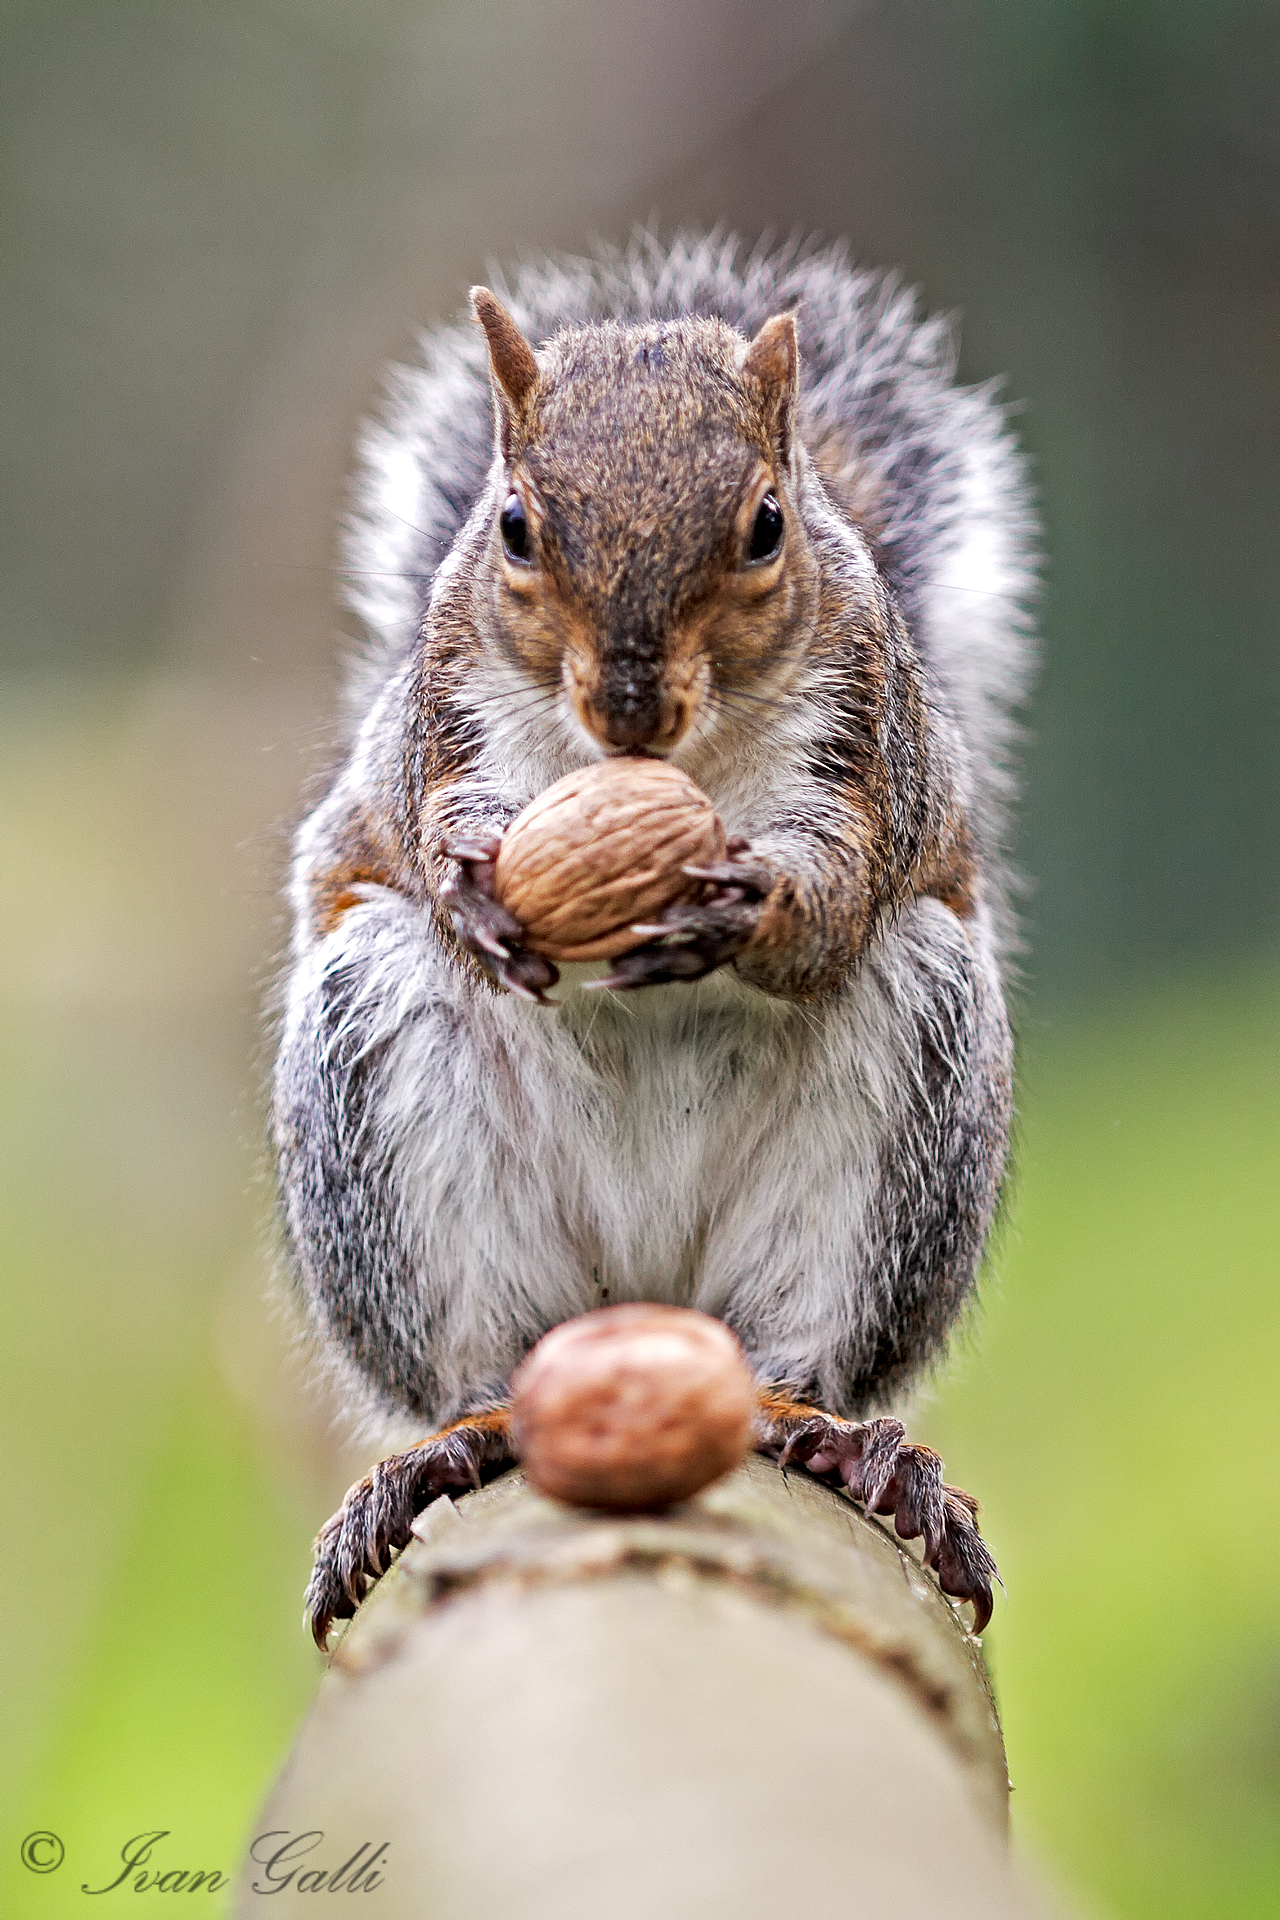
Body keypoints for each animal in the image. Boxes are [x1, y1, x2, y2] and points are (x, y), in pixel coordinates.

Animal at [272, 232, 1036, 1647]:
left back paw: (844, 1445)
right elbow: (435, 820)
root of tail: (645, 1292)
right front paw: (471, 887)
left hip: (903, 1093)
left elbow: (834, 893)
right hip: (383, 1077)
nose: (628, 699)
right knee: (476, 1362)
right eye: (514, 527)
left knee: (802, 1346)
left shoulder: (867, 740)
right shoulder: (440, 717)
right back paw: (451, 1444)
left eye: (765, 527)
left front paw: (747, 910)